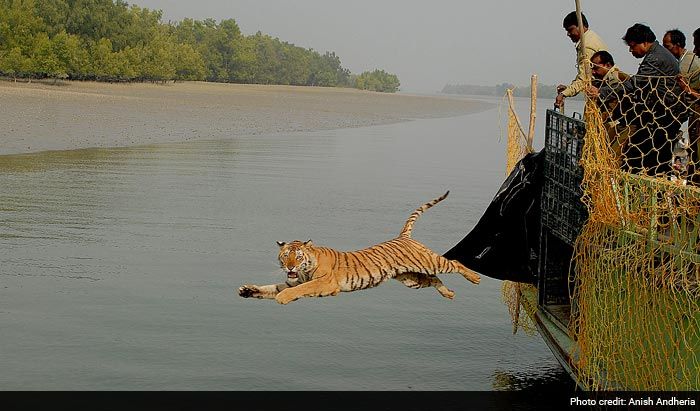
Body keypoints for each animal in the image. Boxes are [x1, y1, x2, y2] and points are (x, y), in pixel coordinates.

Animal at [238, 192, 478, 304]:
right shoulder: (292, 280)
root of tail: (403, 236)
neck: (306, 268)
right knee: (434, 279)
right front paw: (247, 290)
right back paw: (449, 294)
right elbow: (272, 288)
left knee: (454, 262)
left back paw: (475, 279)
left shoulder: (325, 283)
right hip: (412, 279)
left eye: (297, 257)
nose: (289, 267)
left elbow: (295, 290)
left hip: (429, 262)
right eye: (285, 256)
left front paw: (283, 298)